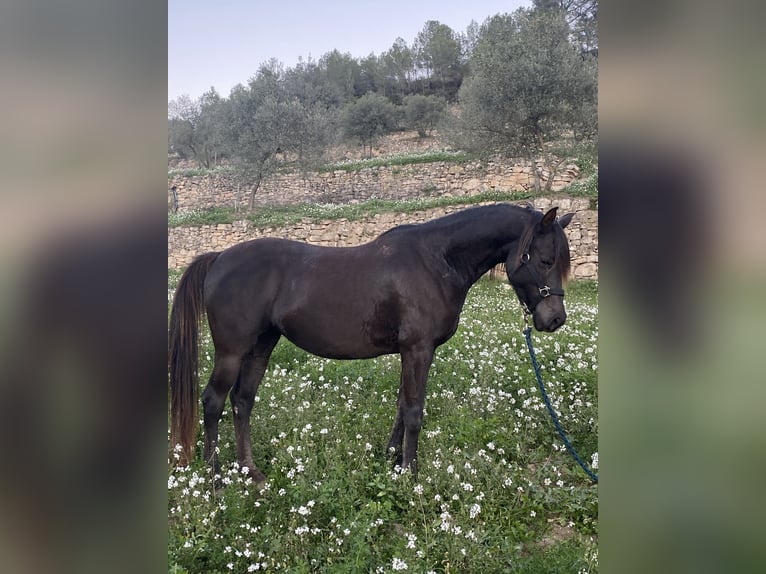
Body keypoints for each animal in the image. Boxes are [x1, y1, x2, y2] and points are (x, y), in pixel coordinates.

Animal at [170, 205, 576, 484]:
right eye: (545, 259)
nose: (555, 319)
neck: (435, 261)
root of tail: (219, 258)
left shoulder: (413, 353)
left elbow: (401, 405)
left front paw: (392, 460)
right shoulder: (417, 350)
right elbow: (413, 411)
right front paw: (411, 474)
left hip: (260, 346)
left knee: (242, 402)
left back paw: (250, 472)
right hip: (231, 351)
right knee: (213, 401)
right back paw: (217, 478)